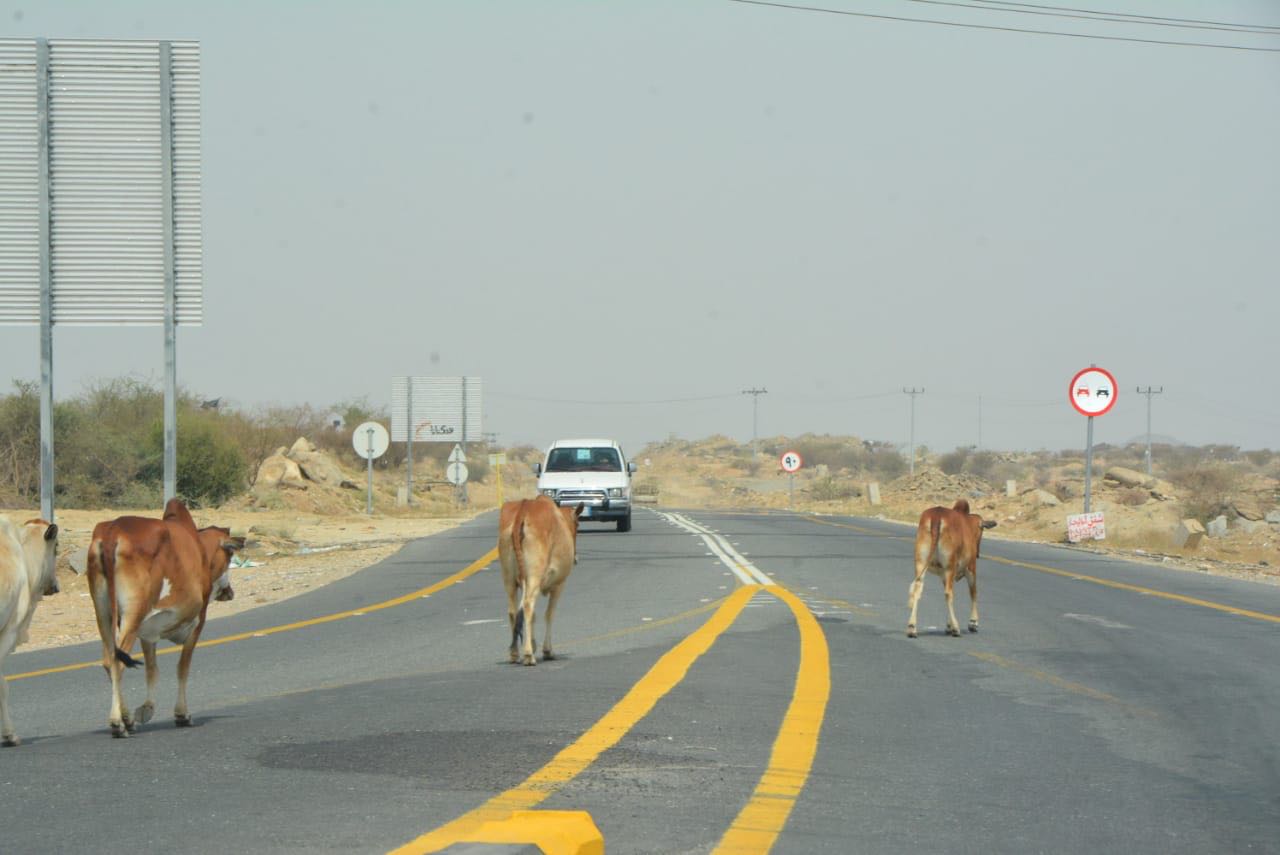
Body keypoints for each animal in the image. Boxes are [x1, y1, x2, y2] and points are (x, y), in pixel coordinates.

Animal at [88, 496, 243, 737]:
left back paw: (126, 719)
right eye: (230, 556)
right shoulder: (197, 622)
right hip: (134, 613)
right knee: (117, 663)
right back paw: (118, 723)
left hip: (103, 613)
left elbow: (152, 671)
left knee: (109, 660)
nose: (229, 592)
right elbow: (182, 668)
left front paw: (146, 709)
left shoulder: (148, 633)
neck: (199, 550)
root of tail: (113, 531)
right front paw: (182, 715)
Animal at [496, 494, 583, 665]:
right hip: (534, 575)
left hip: (508, 578)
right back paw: (528, 655)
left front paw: (533, 643)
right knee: (528, 605)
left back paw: (515, 653)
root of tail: (523, 509)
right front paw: (547, 650)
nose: (575, 558)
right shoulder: (559, 585)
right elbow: (549, 614)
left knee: (513, 611)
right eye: (577, 525)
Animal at [906, 496, 993, 637]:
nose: (978, 553)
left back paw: (912, 627)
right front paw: (972, 622)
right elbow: (973, 593)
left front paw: (949, 625)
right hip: (949, 566)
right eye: (981, 530)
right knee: (948, 593)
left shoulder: (943, 574)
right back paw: (956, 628)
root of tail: (937, 515)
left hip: (921, 562)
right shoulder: (971, 567)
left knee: (918, 588)